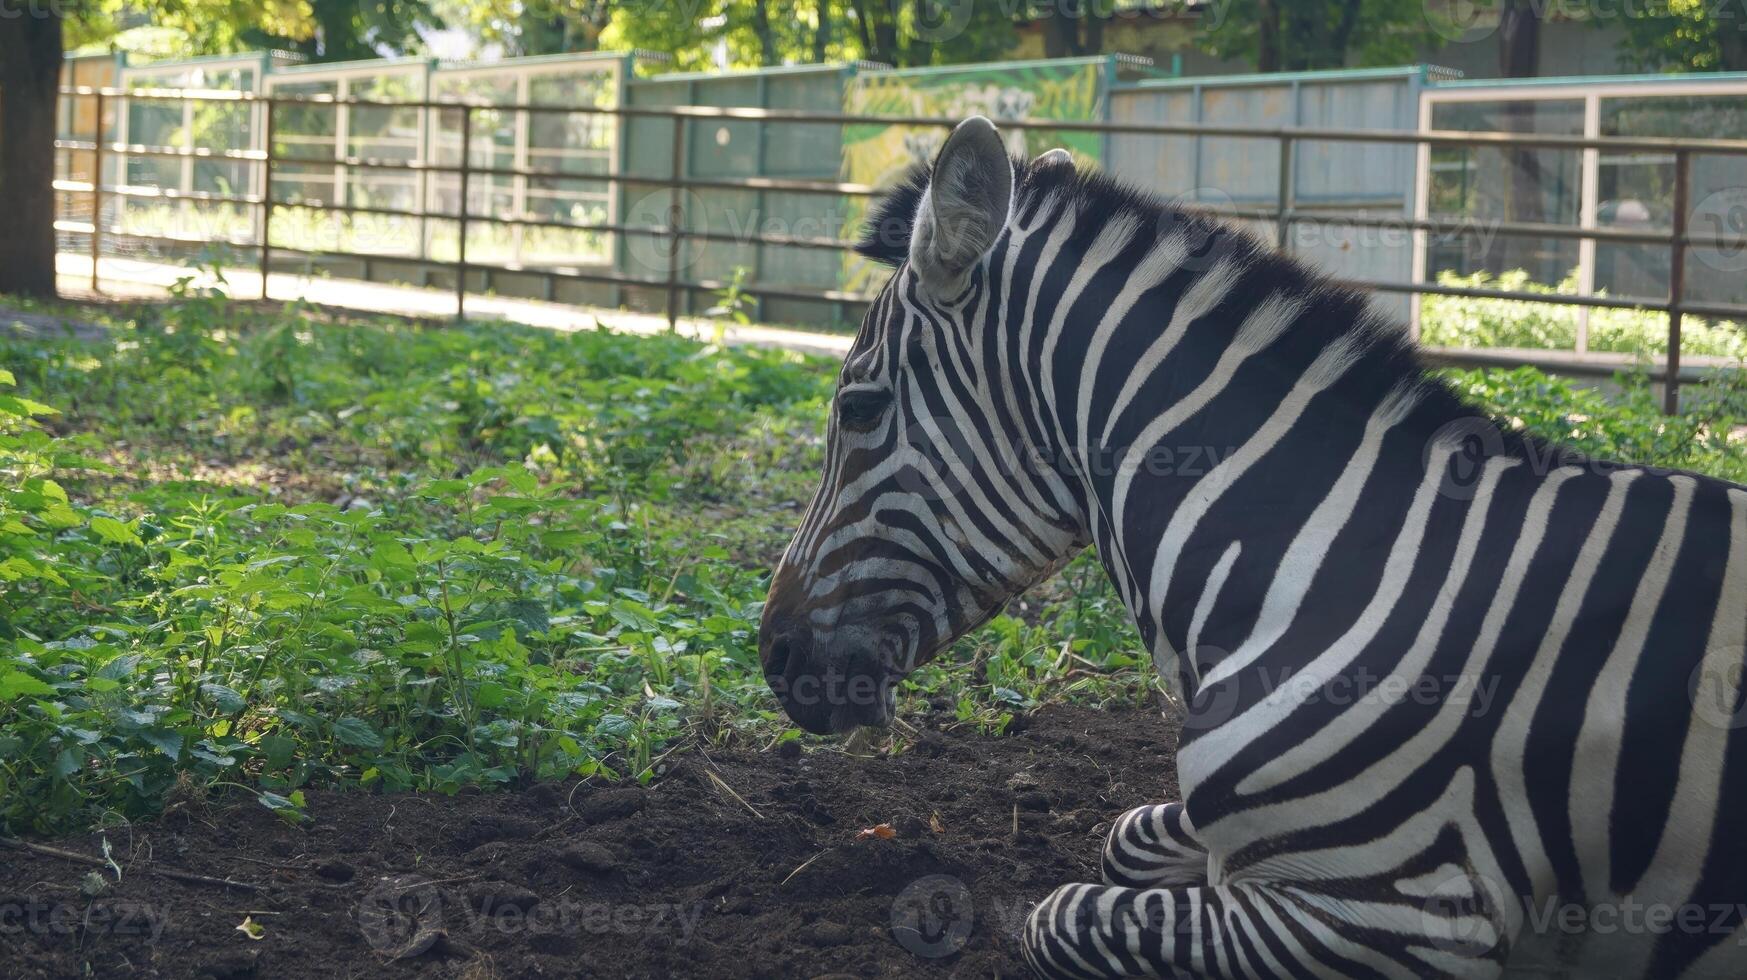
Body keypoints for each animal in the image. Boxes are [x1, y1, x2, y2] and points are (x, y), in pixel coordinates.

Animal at [757, 115, 1747, 978]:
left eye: (858, 407)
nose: (774, 659)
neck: (1323, 570)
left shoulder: (1397, 916)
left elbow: (1057, 917)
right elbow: (1125, 837)